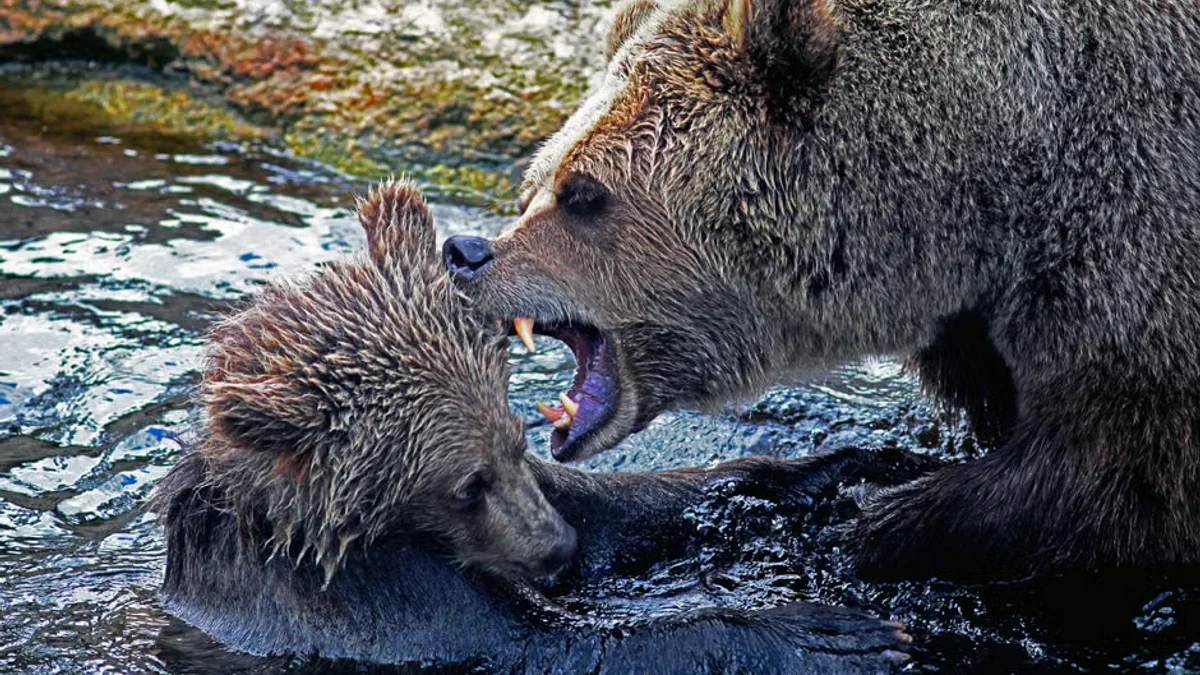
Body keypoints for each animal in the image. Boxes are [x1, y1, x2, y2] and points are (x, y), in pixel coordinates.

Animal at [154, 179, 911, 671]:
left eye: (516, 442)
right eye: (464, 484)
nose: (556, 549)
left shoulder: (542, 496)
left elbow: (628, 508)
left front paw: (842, 466)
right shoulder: (380, 606)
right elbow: (562, 644)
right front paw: (833, 635)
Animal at [440, 0, 1200, 583]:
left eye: (583, 194)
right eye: (538, 182)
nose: (465, 252)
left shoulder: (1127, 227)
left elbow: (1115, 467)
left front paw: (875, 512)